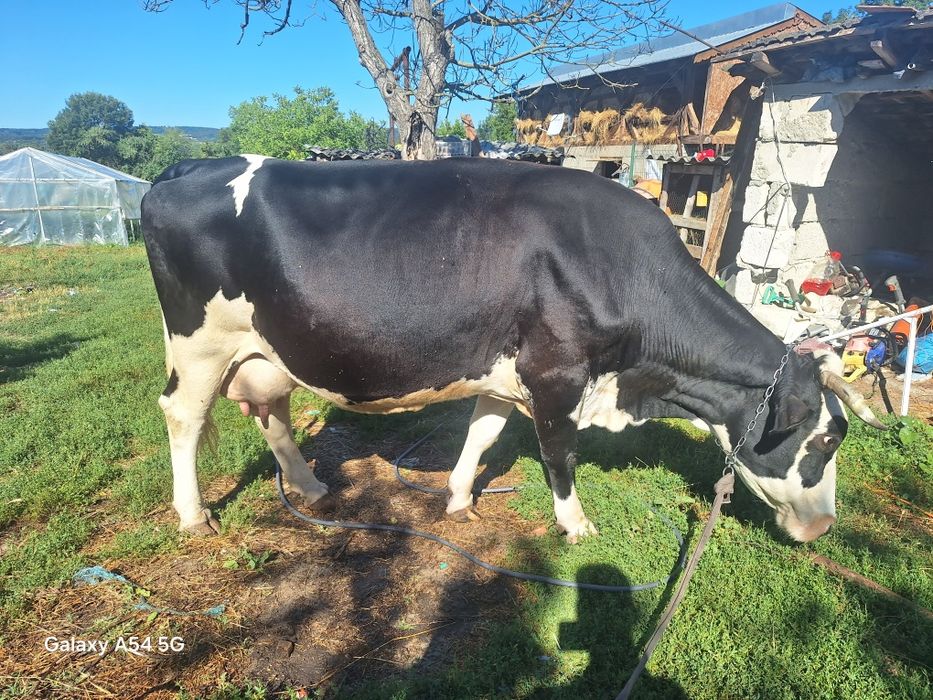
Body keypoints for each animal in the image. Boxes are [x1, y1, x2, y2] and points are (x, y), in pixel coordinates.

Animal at [141, 155, 884, 545]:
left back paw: (310, 484)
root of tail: (185, 169)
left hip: (263, 348)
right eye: (824, 442)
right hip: (199, 343)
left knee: (270, 410)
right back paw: (193, 515)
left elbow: (482, 435)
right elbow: (559, 455)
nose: (825, 528)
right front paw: (576, 526)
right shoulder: (557, 374)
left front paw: (457, 501)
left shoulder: (505, 372)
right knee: (182, 415)